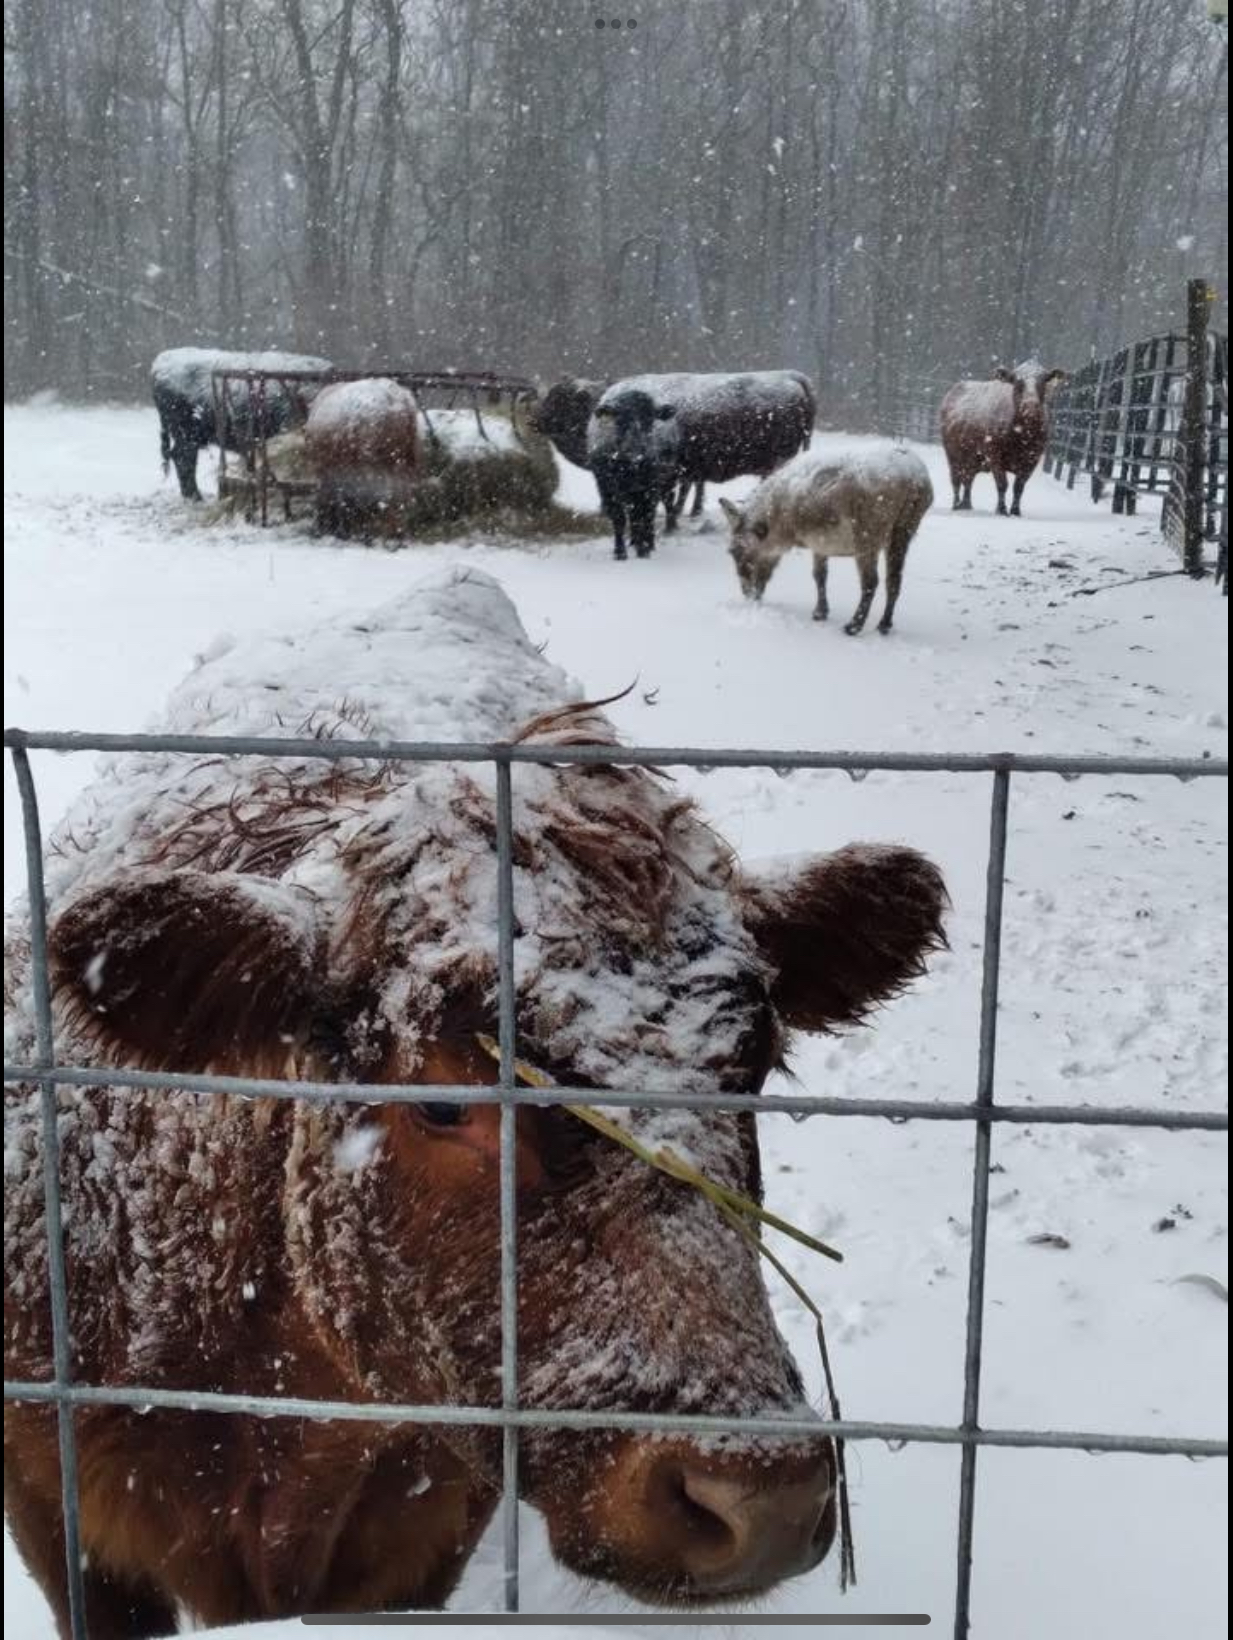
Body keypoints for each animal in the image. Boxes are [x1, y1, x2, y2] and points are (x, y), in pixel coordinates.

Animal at [720, 446, 934, 635]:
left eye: (735, 551)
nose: (748, 595)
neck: (780, 522)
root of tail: (916, 480)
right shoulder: (820, 541)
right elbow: (820, 575)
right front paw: (820, 612)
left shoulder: (816, 539)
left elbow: (819, 575)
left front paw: (821, 612)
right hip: (903, 533)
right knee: (894, 580)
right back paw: (885, 624)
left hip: (867, 536)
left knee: (870, 582)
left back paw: (854, 626)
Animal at [939, 361, 1066, 516]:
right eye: (1018, 382)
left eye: (1042, 381)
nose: (1030, 405)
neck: (1022, 435)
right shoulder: (995, 456)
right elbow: (1002, 484)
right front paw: (1001, 509)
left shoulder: (1032, 460)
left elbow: (1019, 487)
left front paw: (1016, 511)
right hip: (953, 456)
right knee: (956, 480)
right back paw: (957, 505)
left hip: (972, 459)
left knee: (968, 479)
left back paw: (967, 504)